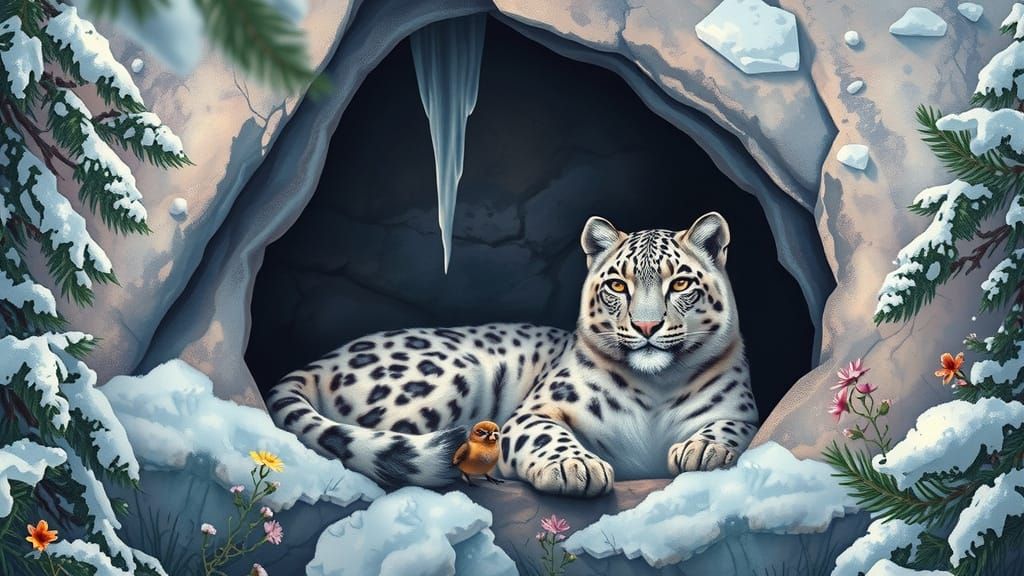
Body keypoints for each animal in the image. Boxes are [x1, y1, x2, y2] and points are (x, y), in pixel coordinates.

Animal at [267, 212, 759, 497]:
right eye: (619, 285)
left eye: (681, 283)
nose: (646, 327)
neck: (656, 385)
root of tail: (322, 360)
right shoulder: (534, 412)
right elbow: (547, 435)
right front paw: (574, 466)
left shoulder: (742, 412)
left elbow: (732, 426)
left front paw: (702, 449)